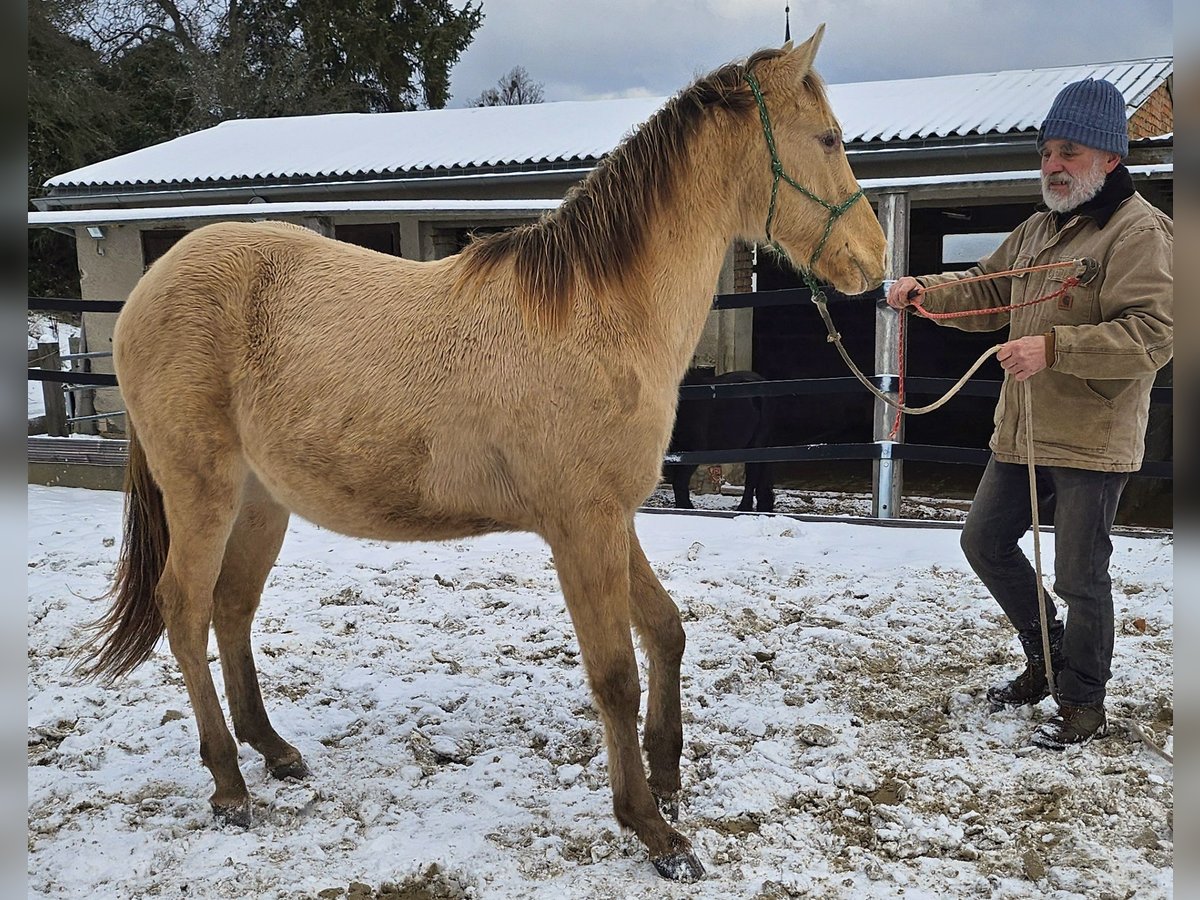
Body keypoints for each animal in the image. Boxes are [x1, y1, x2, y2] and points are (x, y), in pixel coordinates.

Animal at [667, 372, 777, 513]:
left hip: (756, 444)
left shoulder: (693, 450)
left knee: (752, 477)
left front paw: (686, 508)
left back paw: (744, 507)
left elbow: (679, 482)